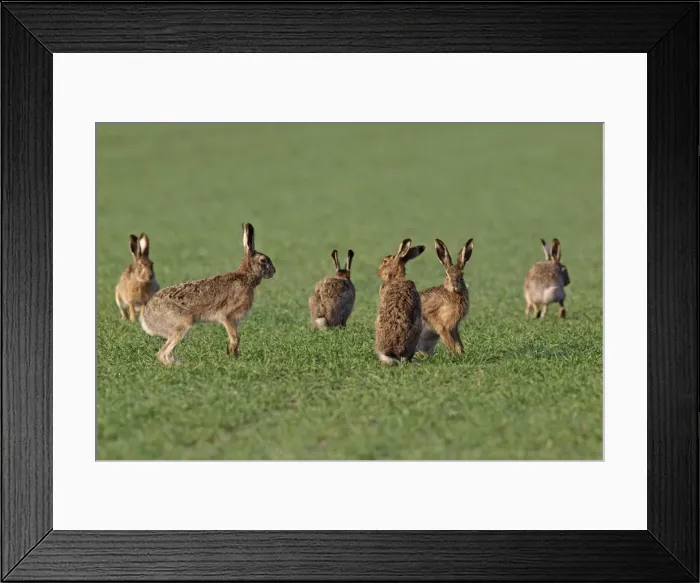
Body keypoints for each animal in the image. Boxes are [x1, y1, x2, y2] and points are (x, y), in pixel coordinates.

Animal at [140, 223, 275, 365]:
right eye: (263, 260)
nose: (274, 271)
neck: (246, 277)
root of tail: (146, 318)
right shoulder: (227, 316)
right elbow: (235, 337)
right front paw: (232, 356)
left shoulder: (234, 320)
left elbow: (234, 338)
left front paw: (233, 355)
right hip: (181, 325)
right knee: (163, 354)